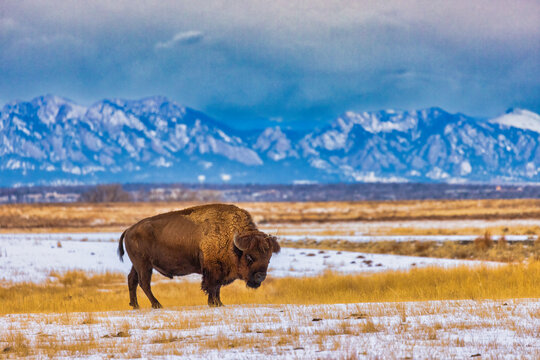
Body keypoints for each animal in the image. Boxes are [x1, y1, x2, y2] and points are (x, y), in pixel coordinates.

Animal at [117, 204, 278, 308]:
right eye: (250, 257)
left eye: (268, 258)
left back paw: (135, 305)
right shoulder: (212, 270)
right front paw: (214, 303)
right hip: (144, 265)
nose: (260, 276)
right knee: (144, 283)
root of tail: (129, 229)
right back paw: (157, 305)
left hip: (137, 265)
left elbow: (217, 287)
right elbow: (212, 286)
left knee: (132, 280)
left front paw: (219, 303)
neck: (232, 242)